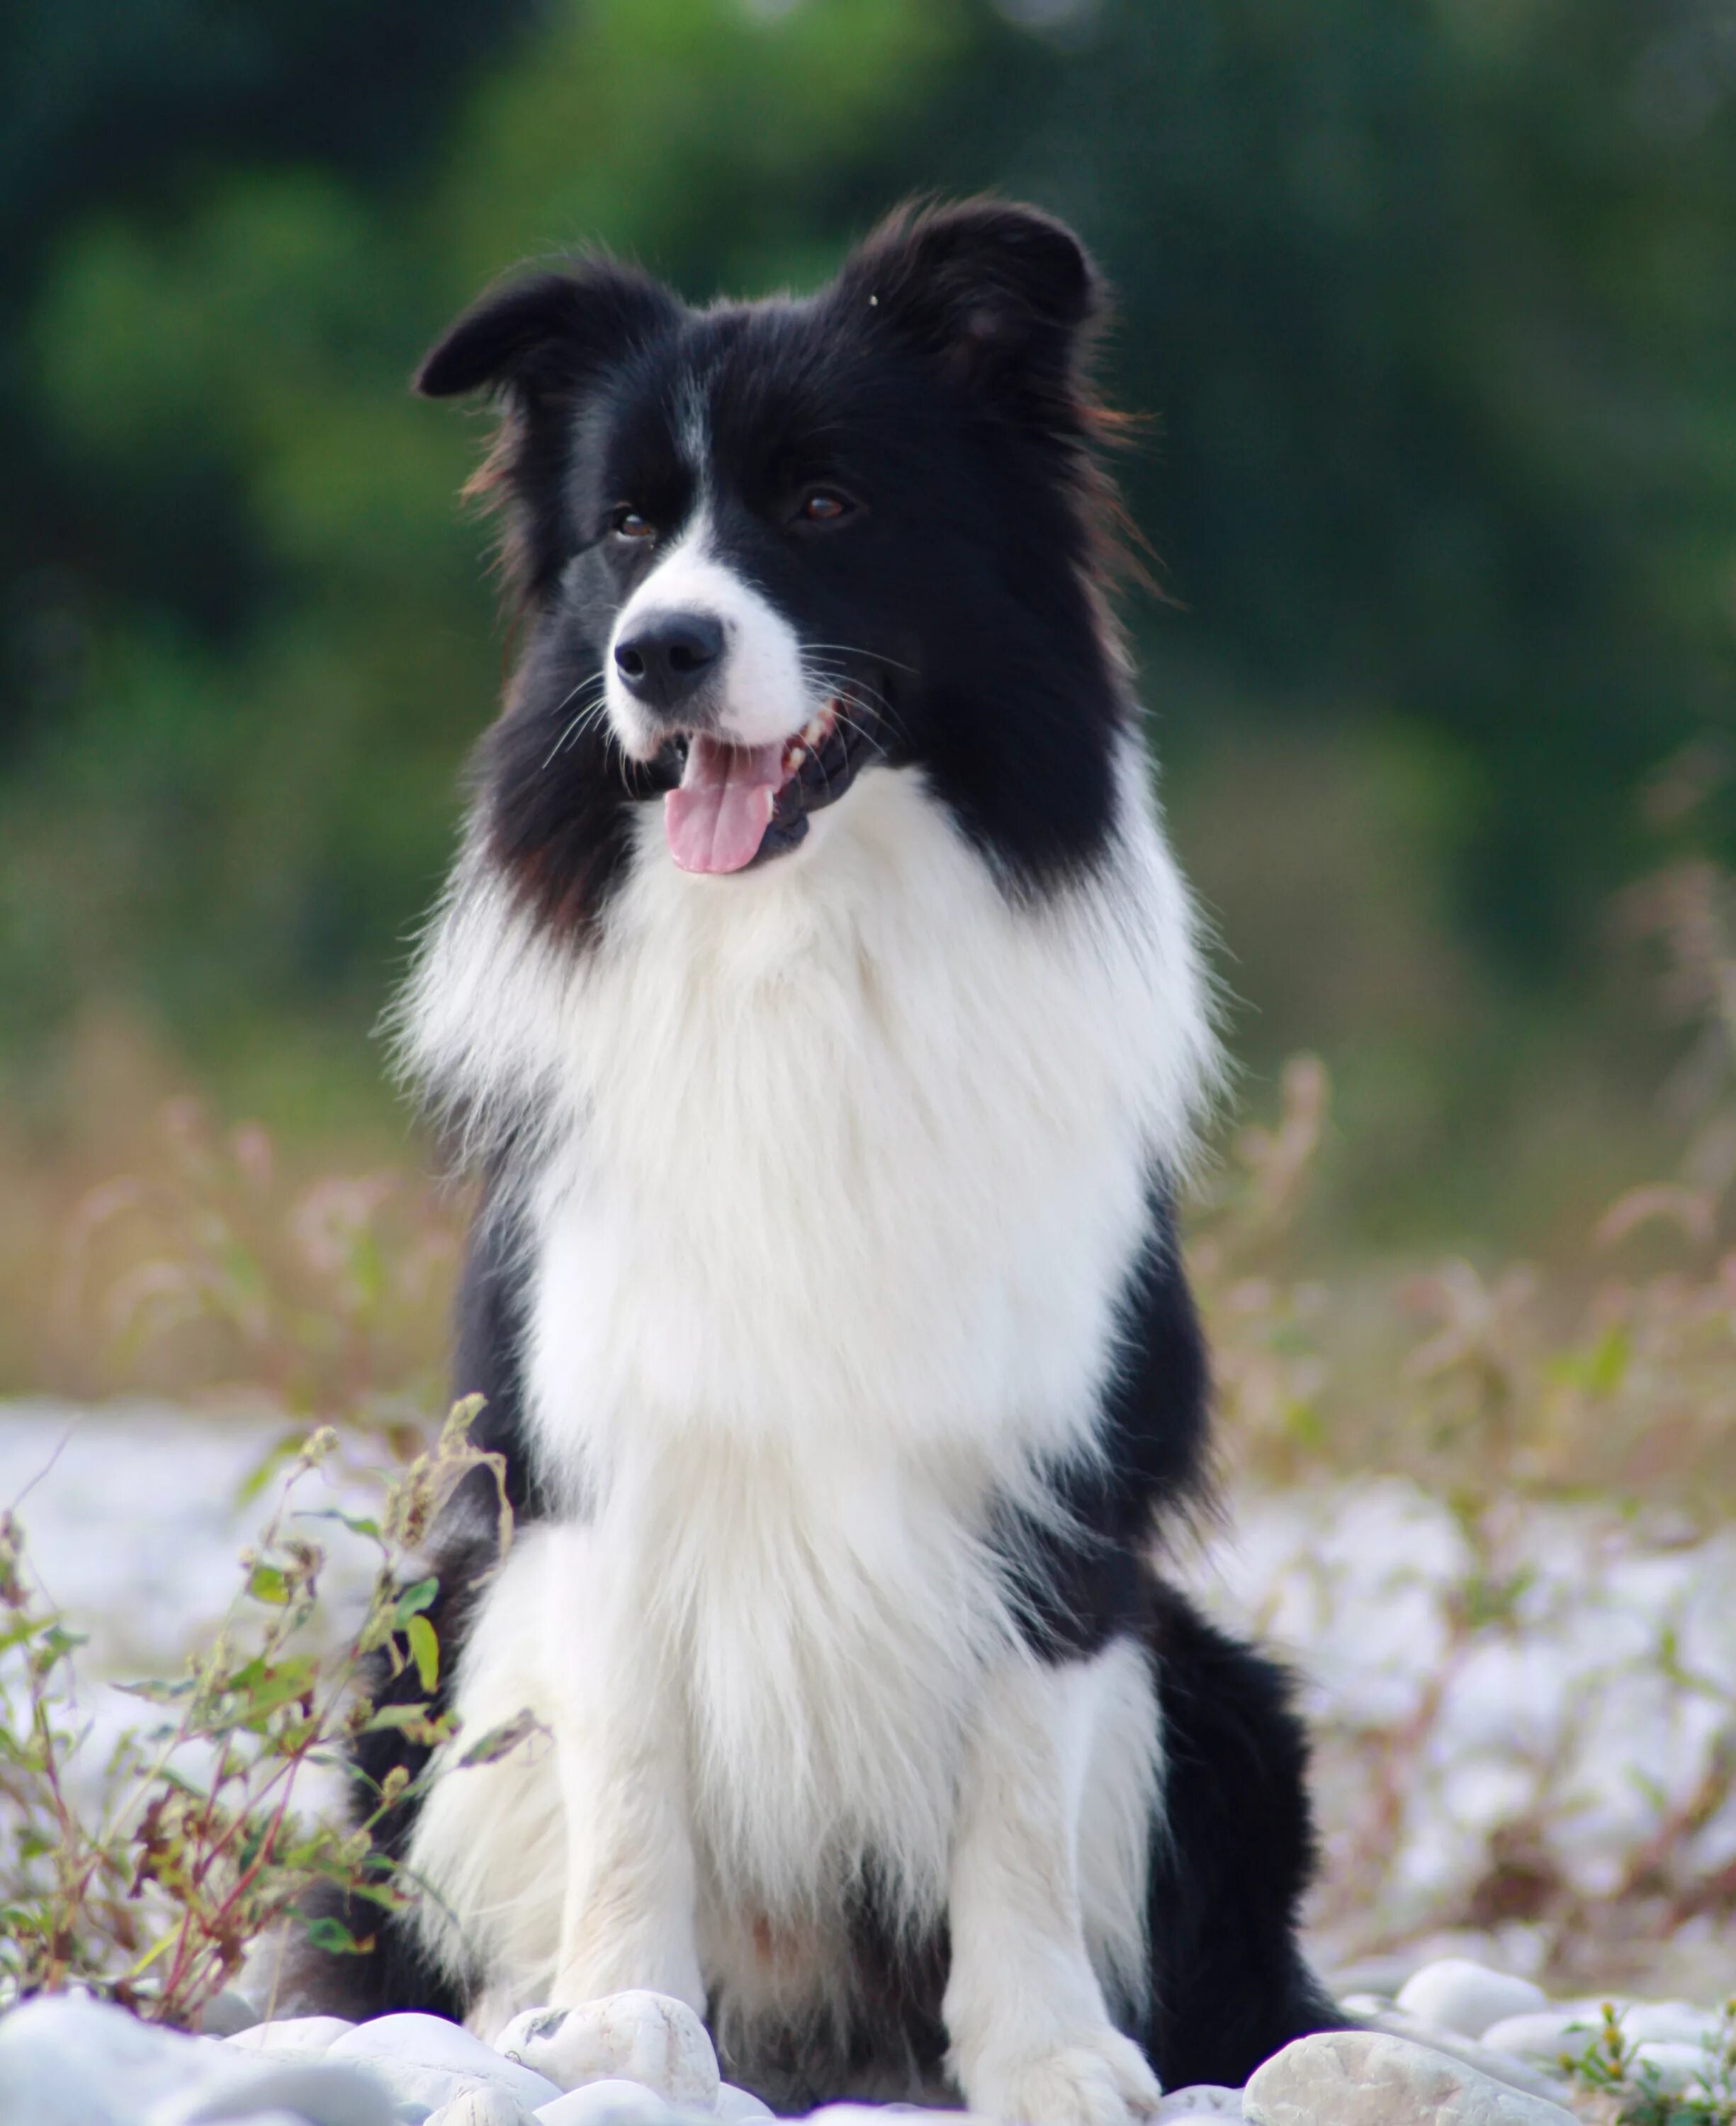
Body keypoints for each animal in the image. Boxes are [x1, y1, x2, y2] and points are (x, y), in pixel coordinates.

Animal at [314, 196, 1343, 2109]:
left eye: (820, 507)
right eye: (625, 530)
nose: (656, 652)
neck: (802, 947)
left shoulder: (1052, 1474)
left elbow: (1016, 1789)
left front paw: (1048, 2051)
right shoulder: (603, 1439)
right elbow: (630, 1766)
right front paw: (619, 2020)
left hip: (1219, 1692)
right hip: (421, 1649)